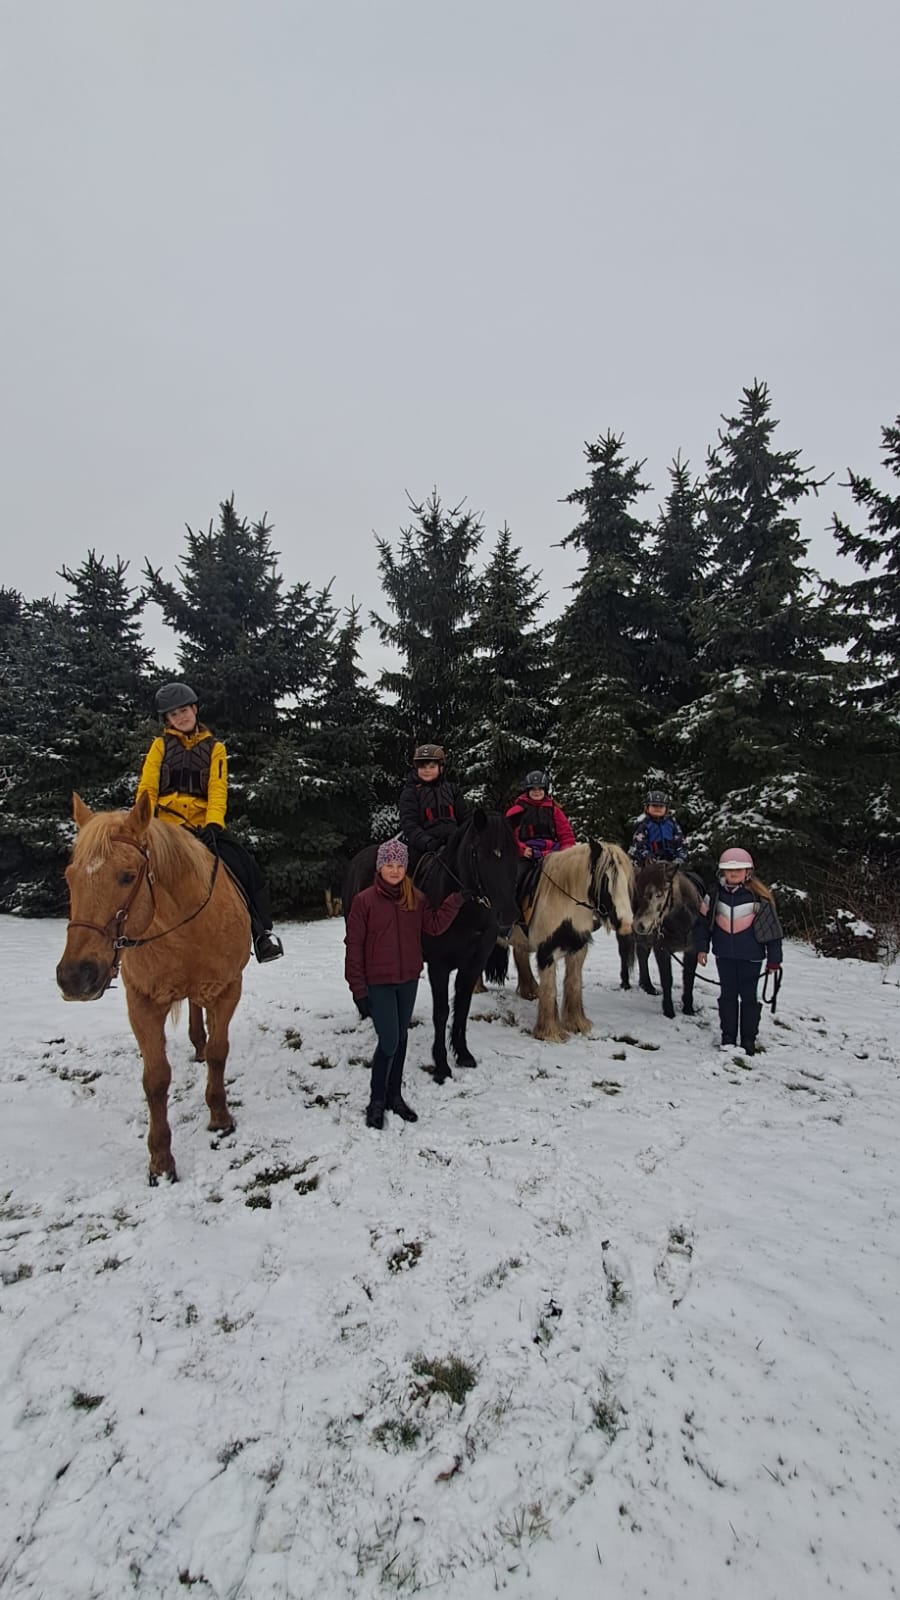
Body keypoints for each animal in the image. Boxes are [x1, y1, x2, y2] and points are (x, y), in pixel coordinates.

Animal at [56, 792, 251, 1182]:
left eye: (127, 876)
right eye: (70, 878)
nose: (74, 976)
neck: (184, 929)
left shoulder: (227, 989)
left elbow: (219, 1052)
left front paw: (220, 1118)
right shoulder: (142, 1003)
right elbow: (156, 1080)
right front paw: (160, 1160)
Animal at [486, 842, 634, 1041]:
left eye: (626, 880)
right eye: (605, 880)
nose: (626, 924)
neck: (564, 904)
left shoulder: (578, 950)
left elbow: (574, 984)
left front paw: (577, 1023)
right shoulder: (547, 952)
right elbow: (550, 990)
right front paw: (550, 1032)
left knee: (520, 956)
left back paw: (530, 991)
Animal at [618, 860, 702, 1019]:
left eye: (659, 894)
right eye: (638, 891)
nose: (638, 925)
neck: (681, 924)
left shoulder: (692, 951)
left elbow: (689, 979)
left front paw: (688, 1008)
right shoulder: (662, 950)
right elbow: (667, 979)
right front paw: (669, 1011)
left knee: (642, 954)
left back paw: (648, 986)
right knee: (624, 954)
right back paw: (625, 983)